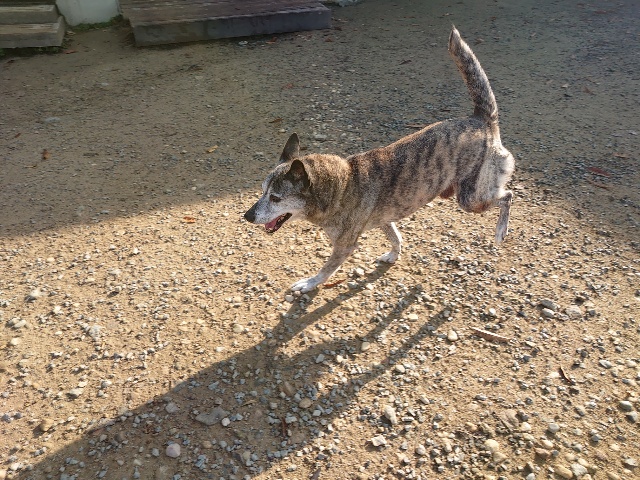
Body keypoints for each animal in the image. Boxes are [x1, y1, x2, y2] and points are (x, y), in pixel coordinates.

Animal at [244, 27, 514, 293]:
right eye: (262, 191)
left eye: (276, 198)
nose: (247, 216)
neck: (341, 187)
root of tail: (480, 119)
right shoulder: (386, 219)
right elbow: (397, 238)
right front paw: (394, 255)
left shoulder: (344, 245)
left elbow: (326, 270)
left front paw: (309, 284)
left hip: (470, 199)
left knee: (507, 196)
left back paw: (501, 232)